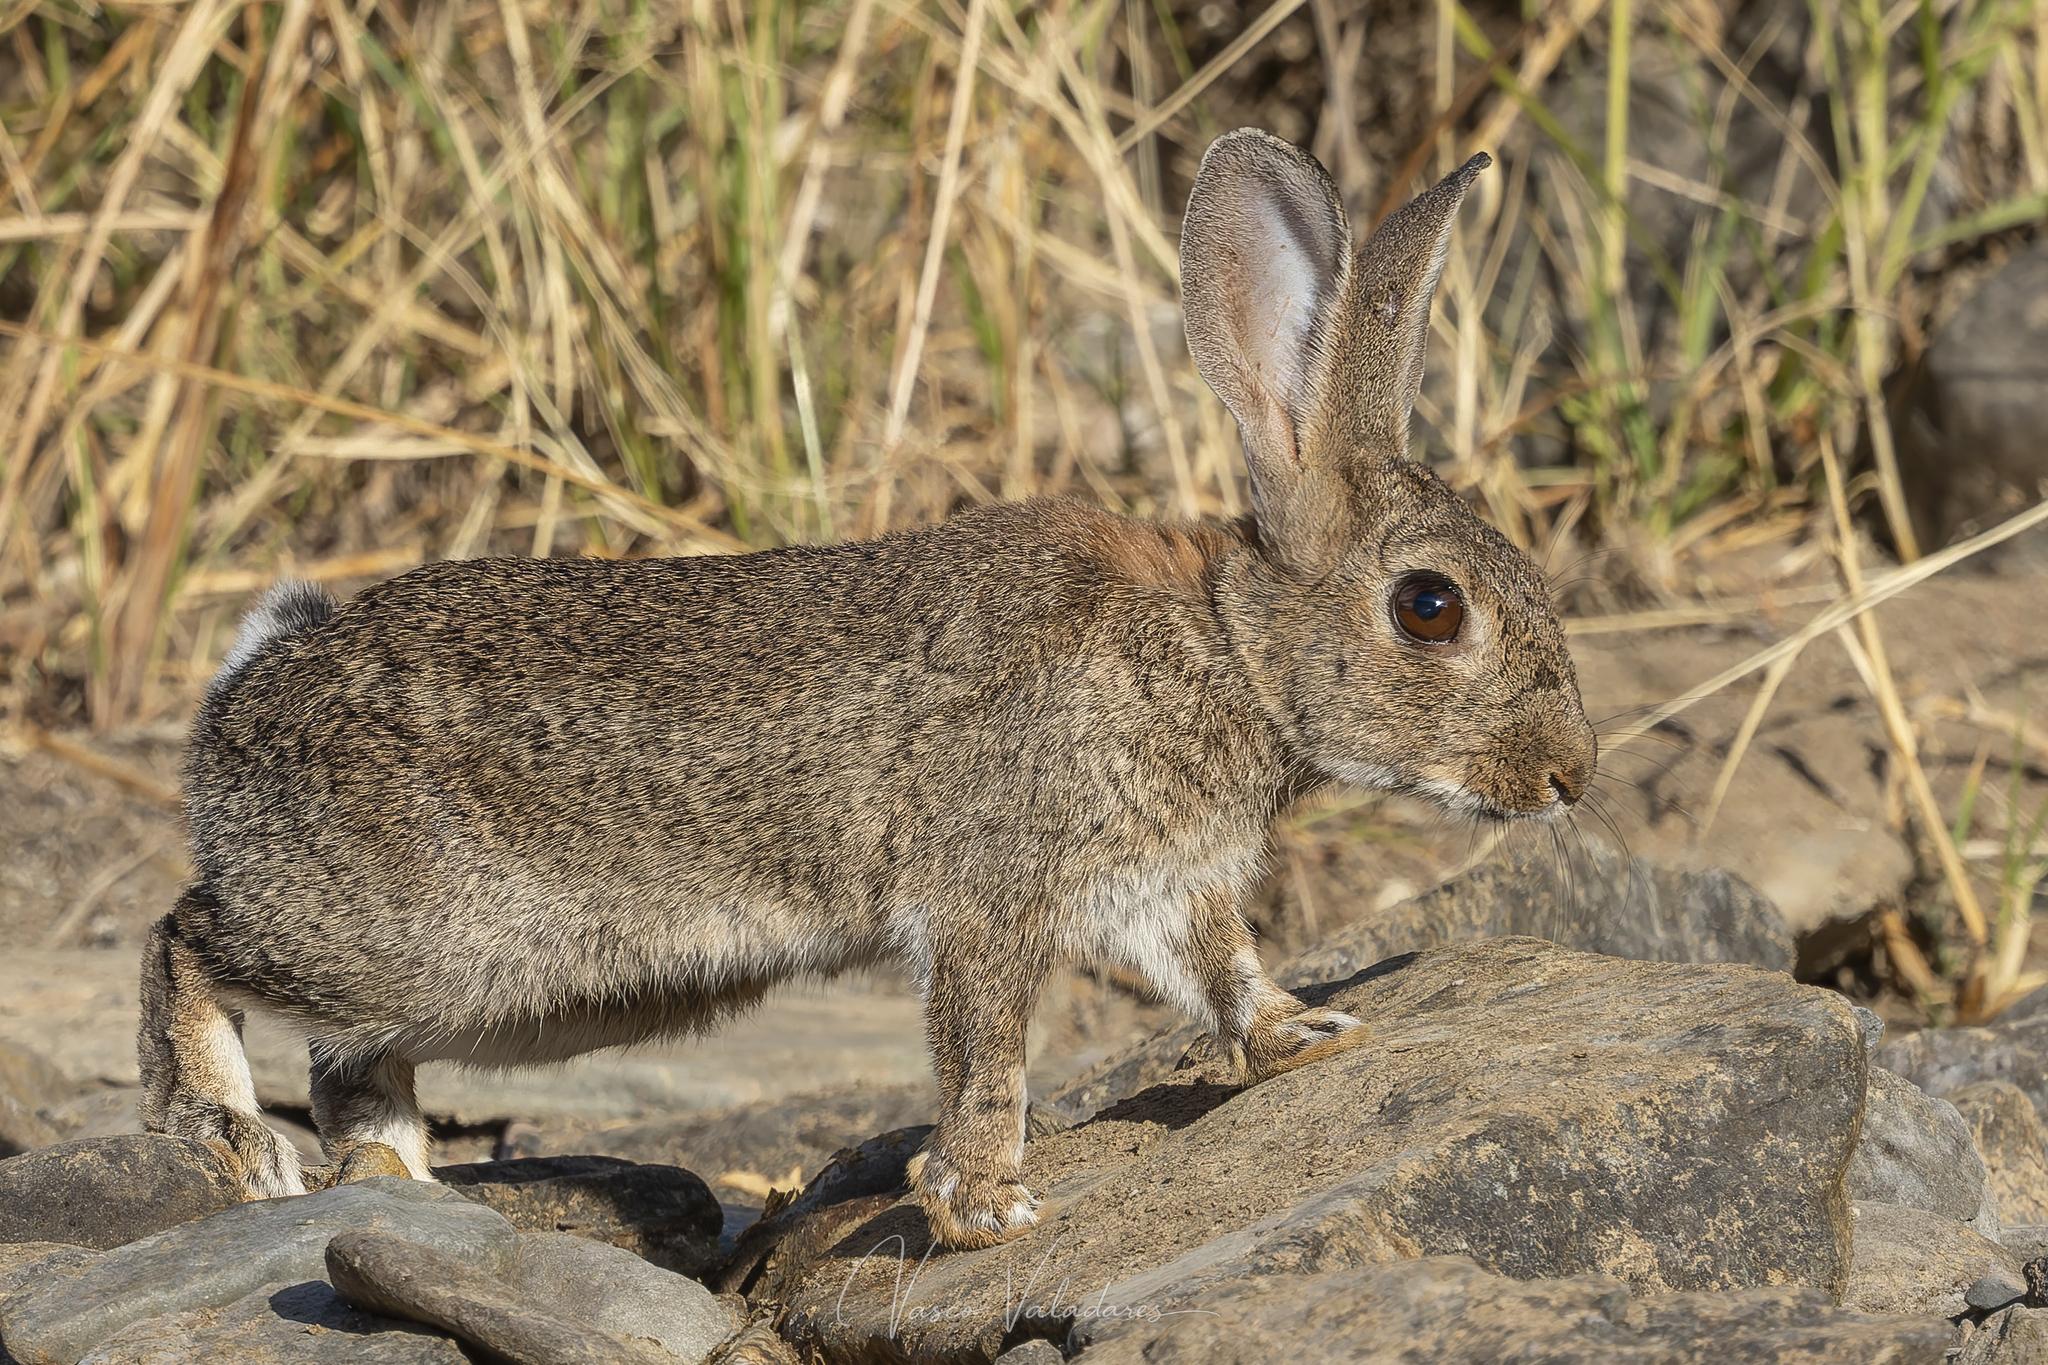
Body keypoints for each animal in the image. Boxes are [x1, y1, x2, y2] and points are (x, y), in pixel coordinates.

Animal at [138, 128, 1596, 1251]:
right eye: (1430, 607)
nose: (1570, 774)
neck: (1226, 647)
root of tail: (245, 690)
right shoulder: (992, 892)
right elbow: (987, 1050)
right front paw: (983, 1209)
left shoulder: (1163, 888)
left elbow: (1228, 976)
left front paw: (1314, 1036)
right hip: (429, 942)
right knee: (188, 937)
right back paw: (232, 1146)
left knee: (347, 1059)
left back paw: (395, 1177)